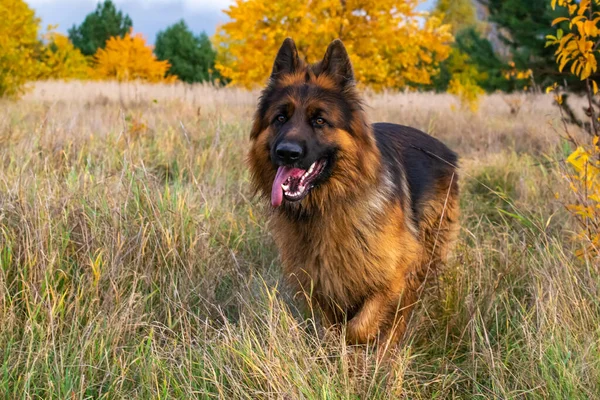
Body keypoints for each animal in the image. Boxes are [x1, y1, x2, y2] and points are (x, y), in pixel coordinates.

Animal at [248, 38, 460, 344]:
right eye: (280, 118)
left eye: (320, 120)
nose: (287, 153)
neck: (328, 205)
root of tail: (445, 150)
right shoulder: (322, 286)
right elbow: (335, 328)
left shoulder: (394, 275)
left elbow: (358, 328)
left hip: (423, 259)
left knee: (404, 312)